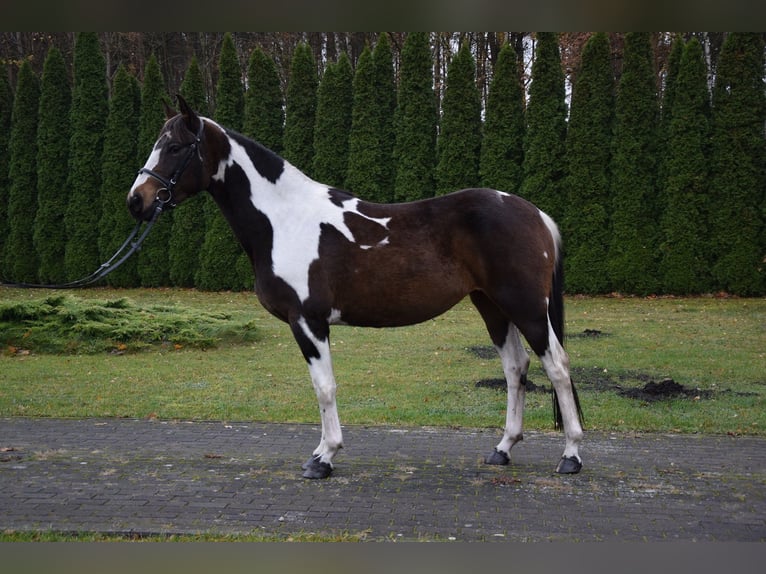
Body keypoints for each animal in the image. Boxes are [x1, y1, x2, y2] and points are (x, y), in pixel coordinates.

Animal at [127, 95, 584, 479]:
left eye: (175, 147)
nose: (137, 201)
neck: (284, 219)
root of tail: (536, 214)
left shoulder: (307, 320)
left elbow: (324, 387)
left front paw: (323, 458)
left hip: (526, 307)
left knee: (557, 366)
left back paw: (571, 456)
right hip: (492, 306)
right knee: (516, 368)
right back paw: (503, 449)